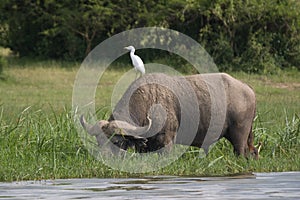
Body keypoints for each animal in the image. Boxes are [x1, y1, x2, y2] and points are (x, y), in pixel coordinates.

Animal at [79, 72, 258, 159]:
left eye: (116, 141)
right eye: (99, 141)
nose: (103, 158)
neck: (149, 102)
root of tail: (247, 88)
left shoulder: (167, 142)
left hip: (239, 134)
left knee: (241, 152)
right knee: (253, 151)